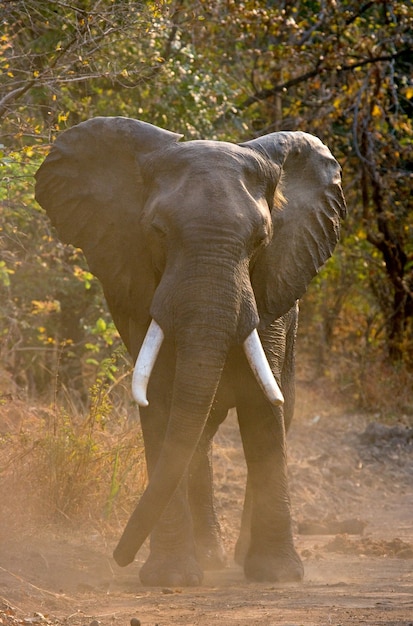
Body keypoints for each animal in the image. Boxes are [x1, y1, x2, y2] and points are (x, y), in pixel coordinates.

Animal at [34, 118, 344, 584]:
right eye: (158, 232)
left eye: (261, 240)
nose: (119, 557)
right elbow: (161, 401)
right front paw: (171, 579)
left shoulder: (270, 289)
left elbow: (262, 409)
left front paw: (276, 575)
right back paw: (210, 559)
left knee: (277, 411)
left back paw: (234, 559)